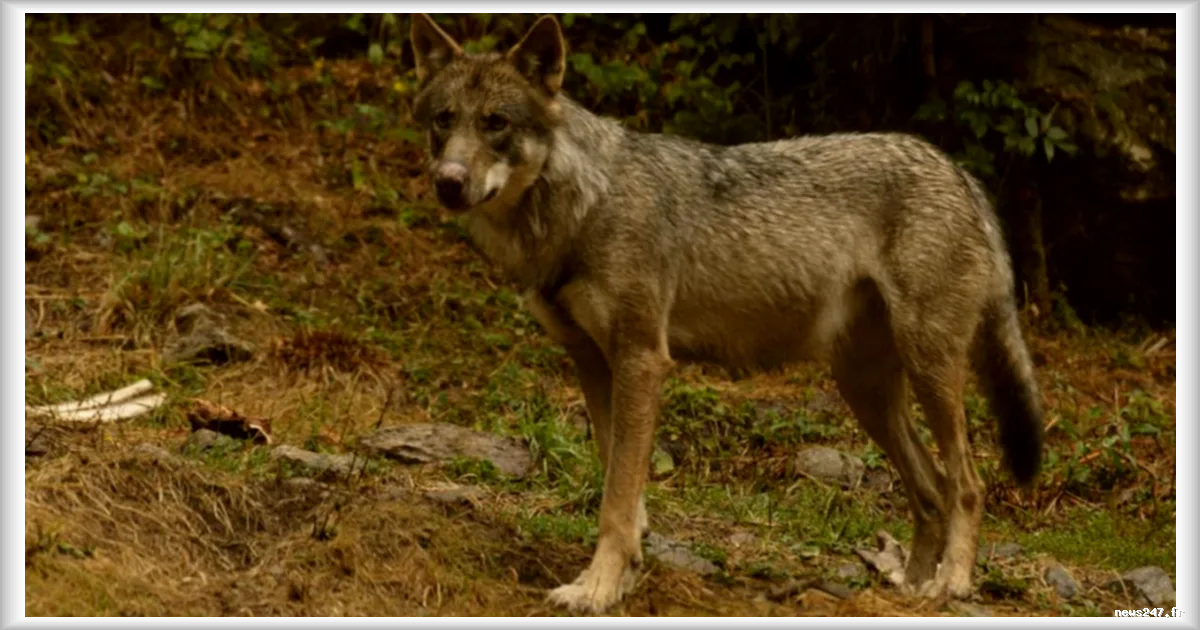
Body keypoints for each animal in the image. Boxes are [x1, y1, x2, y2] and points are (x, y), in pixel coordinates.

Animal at [408, 13, 1044, 614]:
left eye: (496, 123)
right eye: (444, 119)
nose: (448, 183)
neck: (581, 207)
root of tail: (959, 172)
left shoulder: (642, 359)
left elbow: (616, 499)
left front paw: (596, 589)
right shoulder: (591, 361)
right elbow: (620, 483)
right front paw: (624, 572)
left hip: (928, 367)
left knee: (968, 484)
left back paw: (951, 584)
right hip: (864, 390)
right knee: (931, 490)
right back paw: (906, 590)